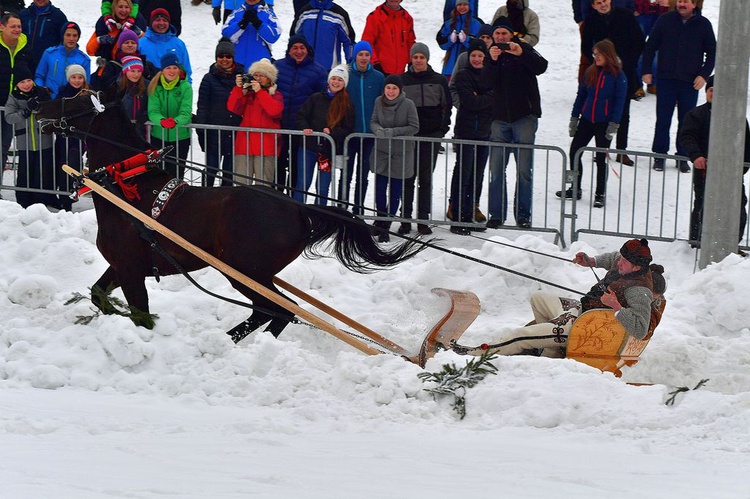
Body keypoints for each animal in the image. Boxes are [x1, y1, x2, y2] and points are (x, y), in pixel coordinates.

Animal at [38, 92, 426, 342]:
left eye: (74, 97)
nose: (34, 103)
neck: (125, 184)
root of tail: (300, 207)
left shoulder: (132, 269)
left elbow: (141, 317)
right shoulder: (120, 266)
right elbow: (97, 294)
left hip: (245, 271)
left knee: (279, 310)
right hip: (252, 273)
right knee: (273, 312)